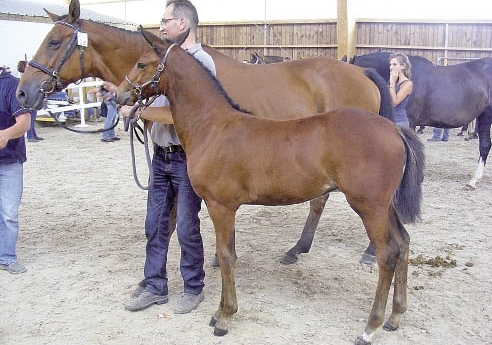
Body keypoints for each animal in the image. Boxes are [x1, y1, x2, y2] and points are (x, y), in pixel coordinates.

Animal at [117, 28, 424, 344]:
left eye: (141, 63)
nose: (119, 94)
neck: (214, 127)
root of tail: (394, 129)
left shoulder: (221, 206)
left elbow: (226, 256)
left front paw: (224, 317)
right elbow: (224, 254)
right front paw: (218, 312)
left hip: (369, 206)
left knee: (387, 254)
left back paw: (370, 326)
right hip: (386, 206)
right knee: (403, 243)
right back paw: (396, 316)